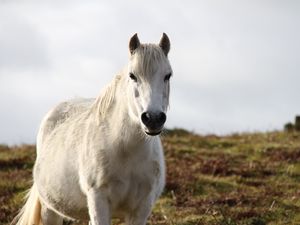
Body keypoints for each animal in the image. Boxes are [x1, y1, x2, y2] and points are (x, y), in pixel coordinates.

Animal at [12, 33, 172, 225]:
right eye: (132, 75)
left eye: (168, 75)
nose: (153, 118)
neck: (126, 152)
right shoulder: (99, 200)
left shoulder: (141, 208)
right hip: (49, 209)